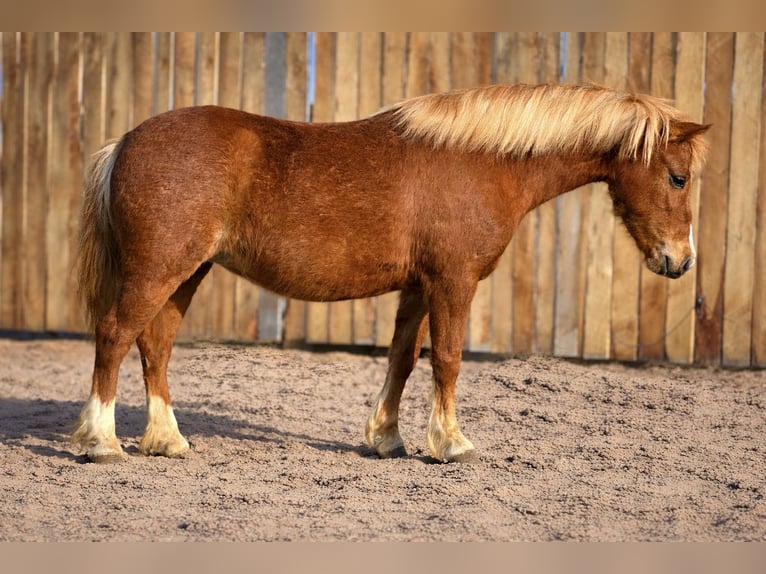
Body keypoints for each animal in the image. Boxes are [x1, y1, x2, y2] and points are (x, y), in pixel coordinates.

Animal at [71, 83, 709, 464]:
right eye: (677, 177)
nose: (680, 260)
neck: (483, 160)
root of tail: (124, 141)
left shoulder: (419, 287)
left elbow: (402, 358)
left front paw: (387, 438)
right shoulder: (453, 282)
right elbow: (447, 359)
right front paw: (452, 443)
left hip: (186, 273)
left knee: (155, 346)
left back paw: (166, 439)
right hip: (158, 271)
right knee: (114, 335)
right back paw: (101, 442)